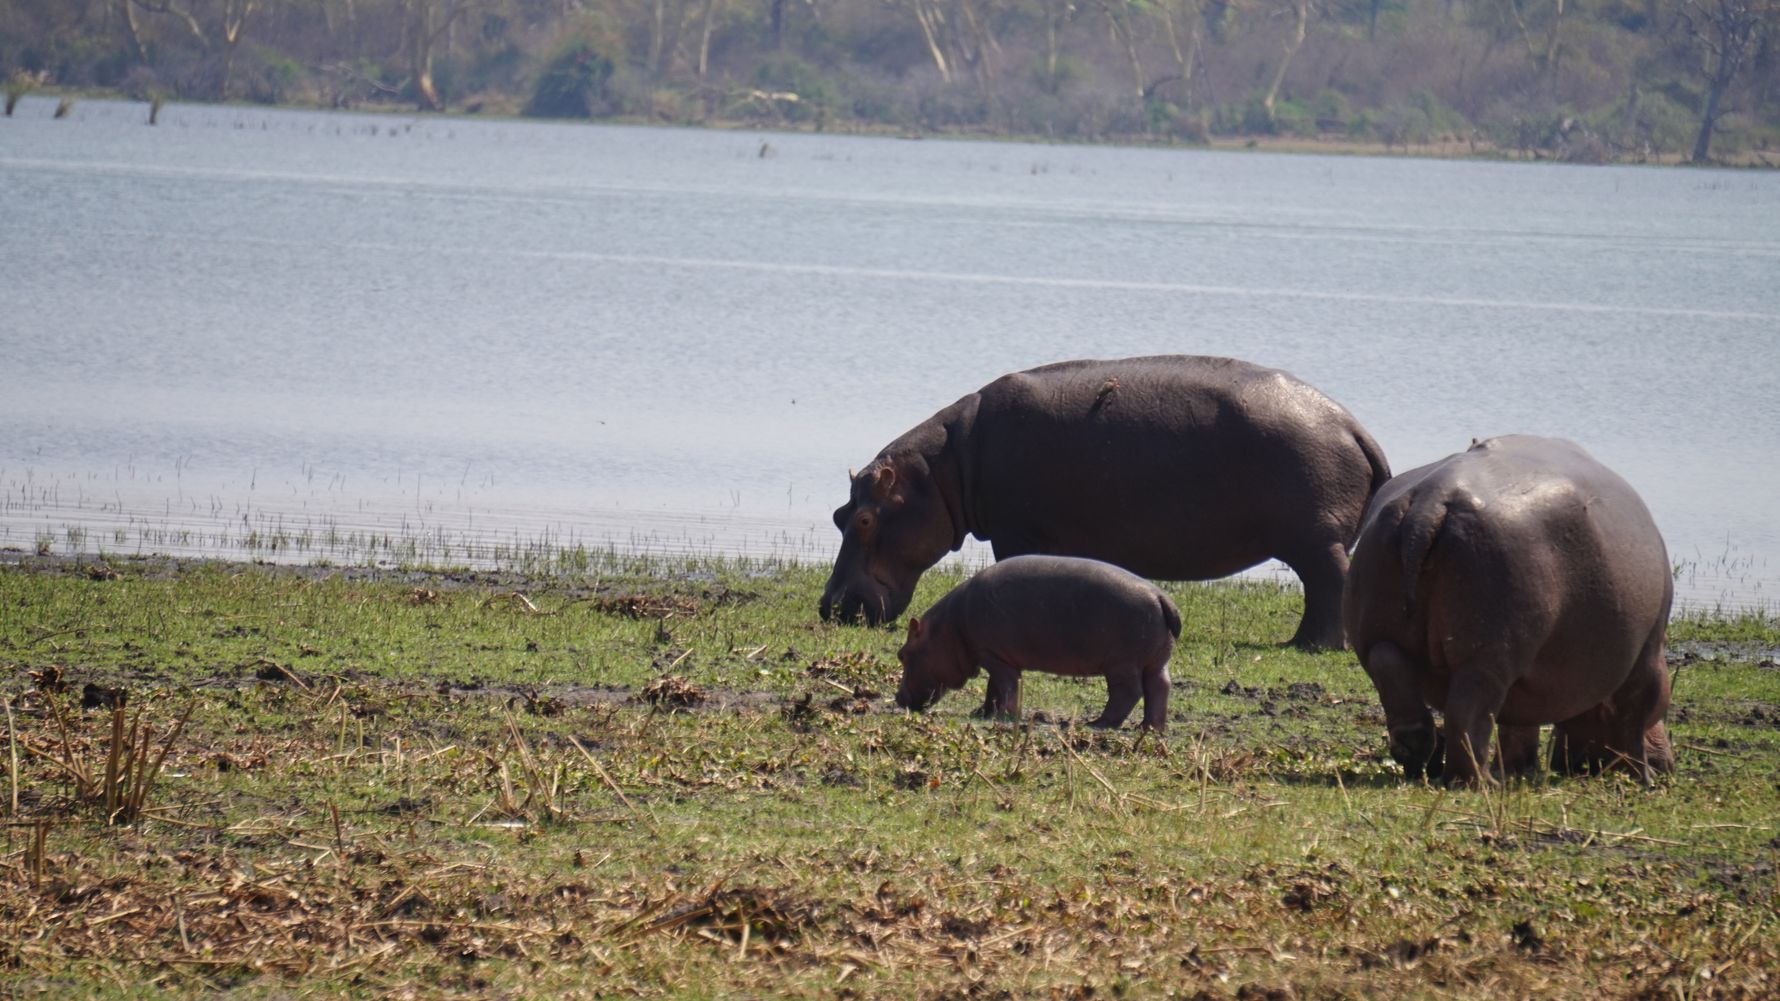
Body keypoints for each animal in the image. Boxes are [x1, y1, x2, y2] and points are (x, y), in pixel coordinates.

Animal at [820, 356, 1391, 649]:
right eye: (838, 514)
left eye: (866, 518)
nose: (828, 607)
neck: (941, 470)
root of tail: (1354, 426)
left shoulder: (1014, 532)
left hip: (1315, 539)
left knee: (1328, 585)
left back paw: (1311, 647)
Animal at [893, 554, 1181, 731]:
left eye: (902, 654)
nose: (897, 698)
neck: (949, 628)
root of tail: (1160, 596)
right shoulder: (994, 655)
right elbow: (993, 688)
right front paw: (982, 712)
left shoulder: (993, 655)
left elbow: (1007, 686)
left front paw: (1003, 716)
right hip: (1155, 661)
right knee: (1159, 688)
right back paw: (1150, 727)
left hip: (1122, 664)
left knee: (1128, 692)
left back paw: (1098, 723)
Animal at [1343, 435, 1674, 785]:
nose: (1667, 764)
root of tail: (1430, 501)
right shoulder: (1647, 653)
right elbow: (1635, 717)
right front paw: (1644, 778)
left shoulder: (1528, 682)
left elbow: (1518, 725)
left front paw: (1519, 769)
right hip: (1488, 656)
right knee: (1466, 715)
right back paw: (1483, 782)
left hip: (1380, 633)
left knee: (1393, 675)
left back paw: (1424, 767)